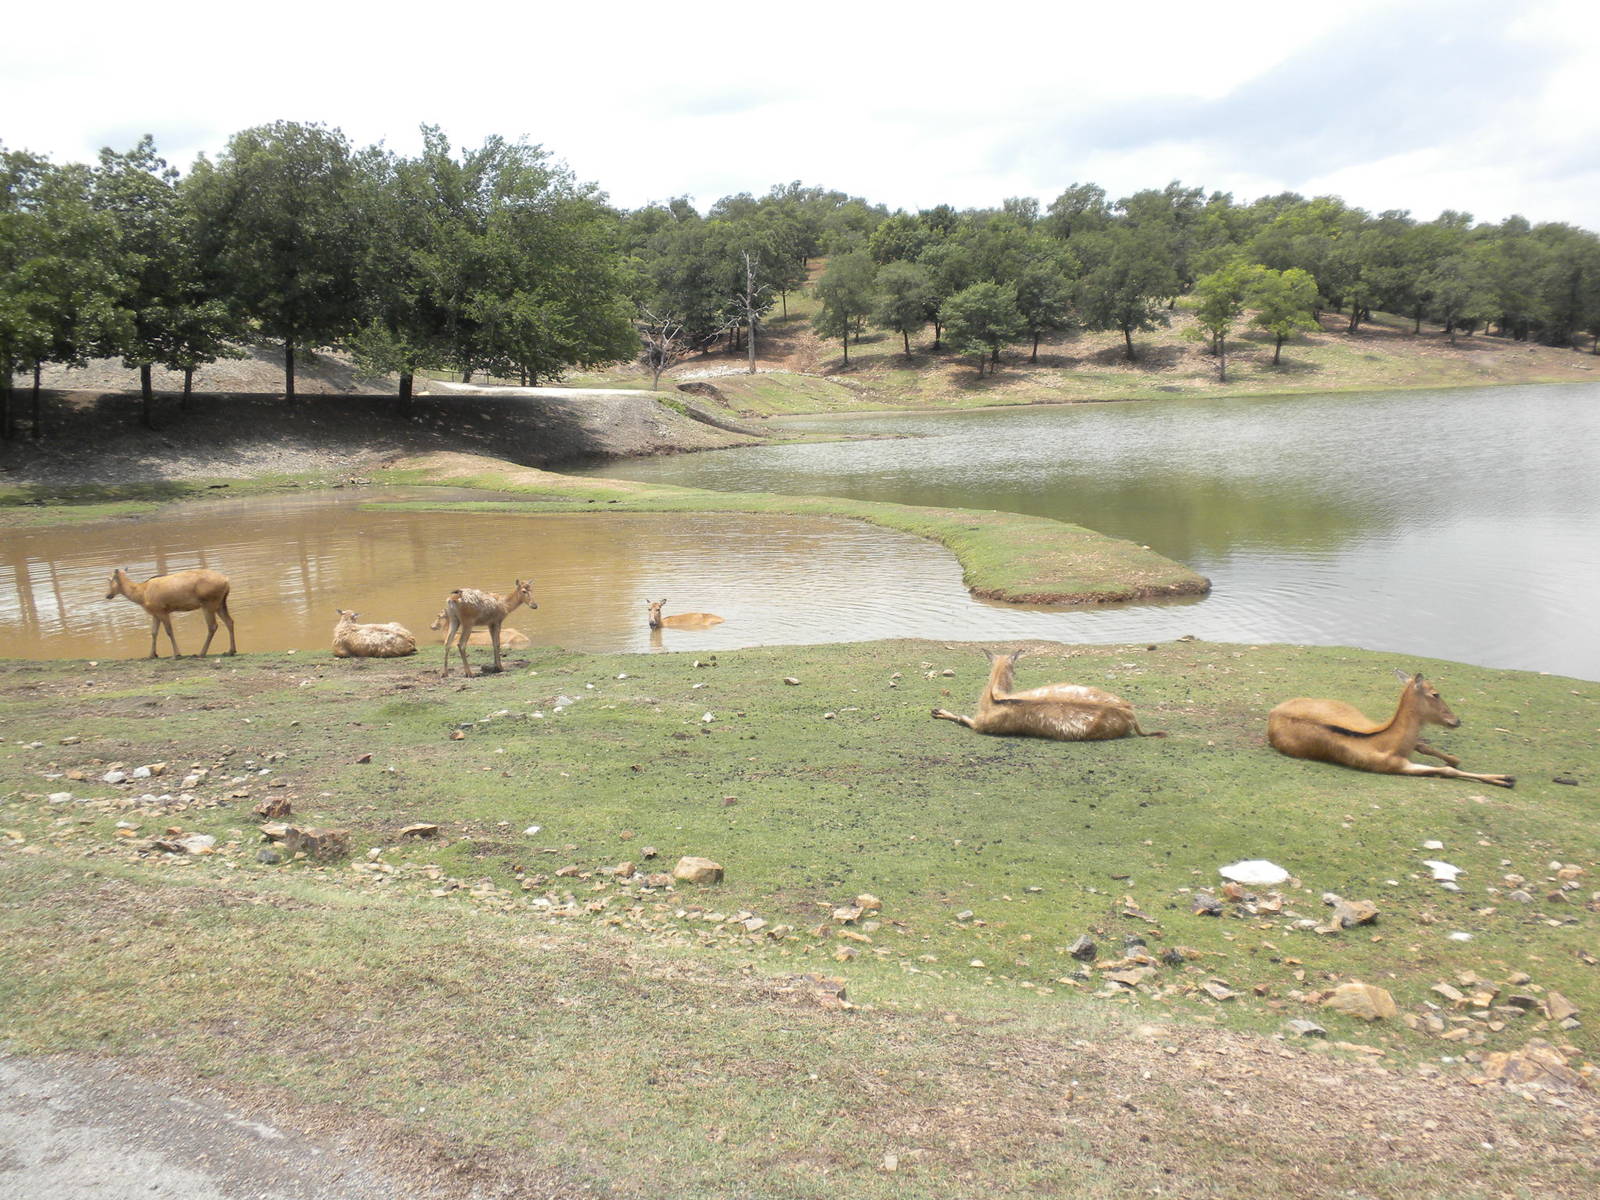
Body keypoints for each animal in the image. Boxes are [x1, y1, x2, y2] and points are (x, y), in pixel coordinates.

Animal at [104, 567, 237, 659]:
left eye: (110, 580)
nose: (107, 595)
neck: (141, 595)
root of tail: (227, 581)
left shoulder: (162, 610)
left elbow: (169, 631)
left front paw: (176, 654)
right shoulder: (155, 613)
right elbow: (153, 633)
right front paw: (152, 655)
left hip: (208, 603)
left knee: (213, 626)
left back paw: (201, 653)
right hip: (220, 603)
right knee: (229, 621)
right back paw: (231, 651)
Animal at [931, 648, 1165, 741]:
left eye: (1015, 669)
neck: (993, 699)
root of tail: (1131, 715)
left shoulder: (982, 726)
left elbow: (963, 718)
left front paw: (938, 711)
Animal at [1267, 669, 1515, 787]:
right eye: (1435, 694)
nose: (1456, 720)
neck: (1387, 742)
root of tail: (1273, 712)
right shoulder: (1394, 766)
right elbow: (1446, 771)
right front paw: (1506, 779)